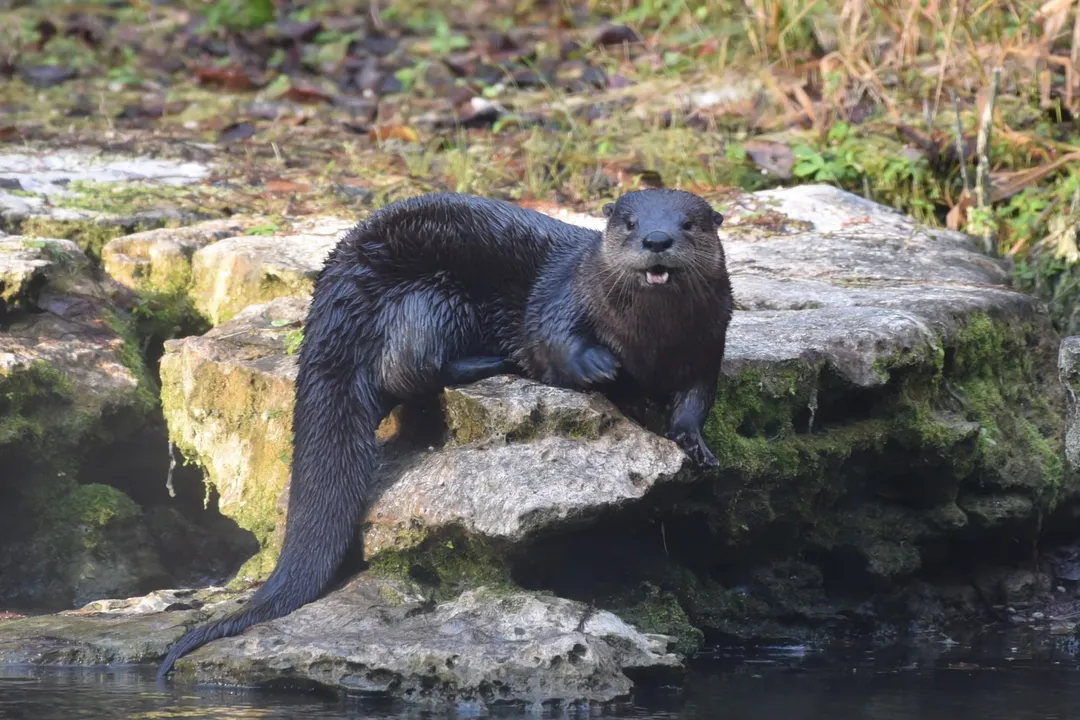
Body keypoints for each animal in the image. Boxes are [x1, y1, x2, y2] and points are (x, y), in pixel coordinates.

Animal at [157, 188, 732, 679]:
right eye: (630, 223)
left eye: (688, 223)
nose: (656, 240)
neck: (648, 341)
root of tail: (338, 287)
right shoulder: (564, 297)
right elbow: (552, 337)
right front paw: (600, 369)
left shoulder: (708, 343)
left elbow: (695, 398)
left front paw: (695, 443)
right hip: (431, 299)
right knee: (405, 369)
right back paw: (490, 361)